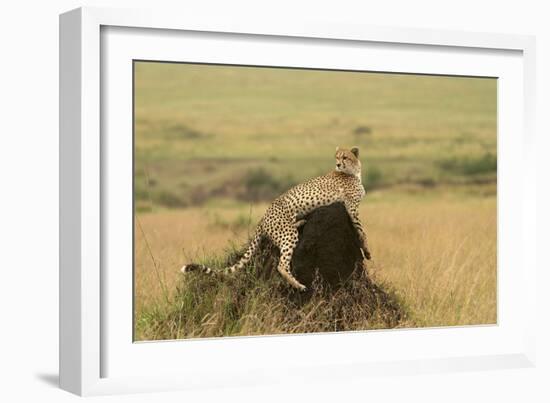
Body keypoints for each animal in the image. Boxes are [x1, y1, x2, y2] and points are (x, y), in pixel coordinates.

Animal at [183, 147, 374, 292]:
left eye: (345, 157)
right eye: (337, 157)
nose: (338, 164)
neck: (353, 172)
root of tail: (262, 219)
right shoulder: (351, 208)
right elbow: (362, 231)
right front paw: (366, 250)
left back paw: (301, 222)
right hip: (288, 235)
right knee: (281, 265)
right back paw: (298, 285)